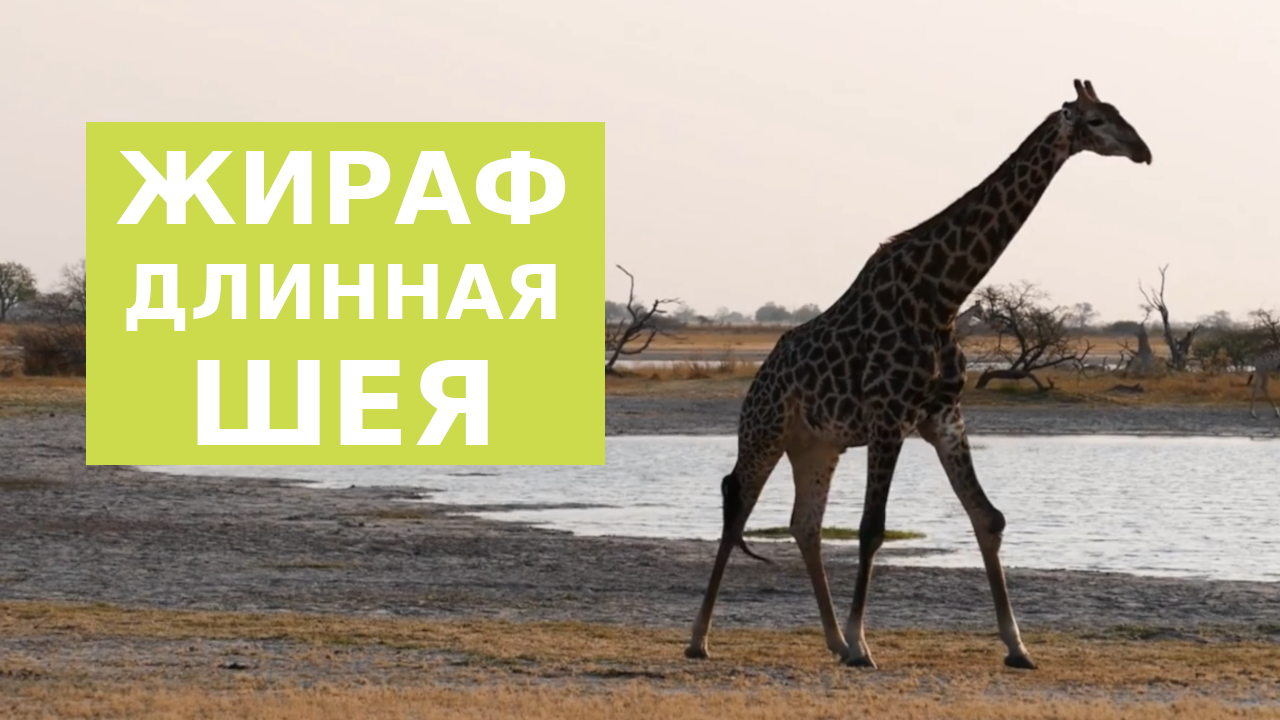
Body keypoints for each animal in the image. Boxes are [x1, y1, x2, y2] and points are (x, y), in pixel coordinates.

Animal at [685, 79, 1151, 670]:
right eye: (1095, 120)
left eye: (1118, 111)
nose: (1143, 150)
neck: (942, 297)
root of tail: (759, 376)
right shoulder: (889, 418)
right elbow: (871, 529)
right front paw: (864, 645)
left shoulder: (944, 415)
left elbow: (988, 518)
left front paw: (1017, 646)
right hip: (764, 429)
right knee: (737, 503)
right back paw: (701, 640)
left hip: (816, 445)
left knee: (804, 525)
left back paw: (831, 640)